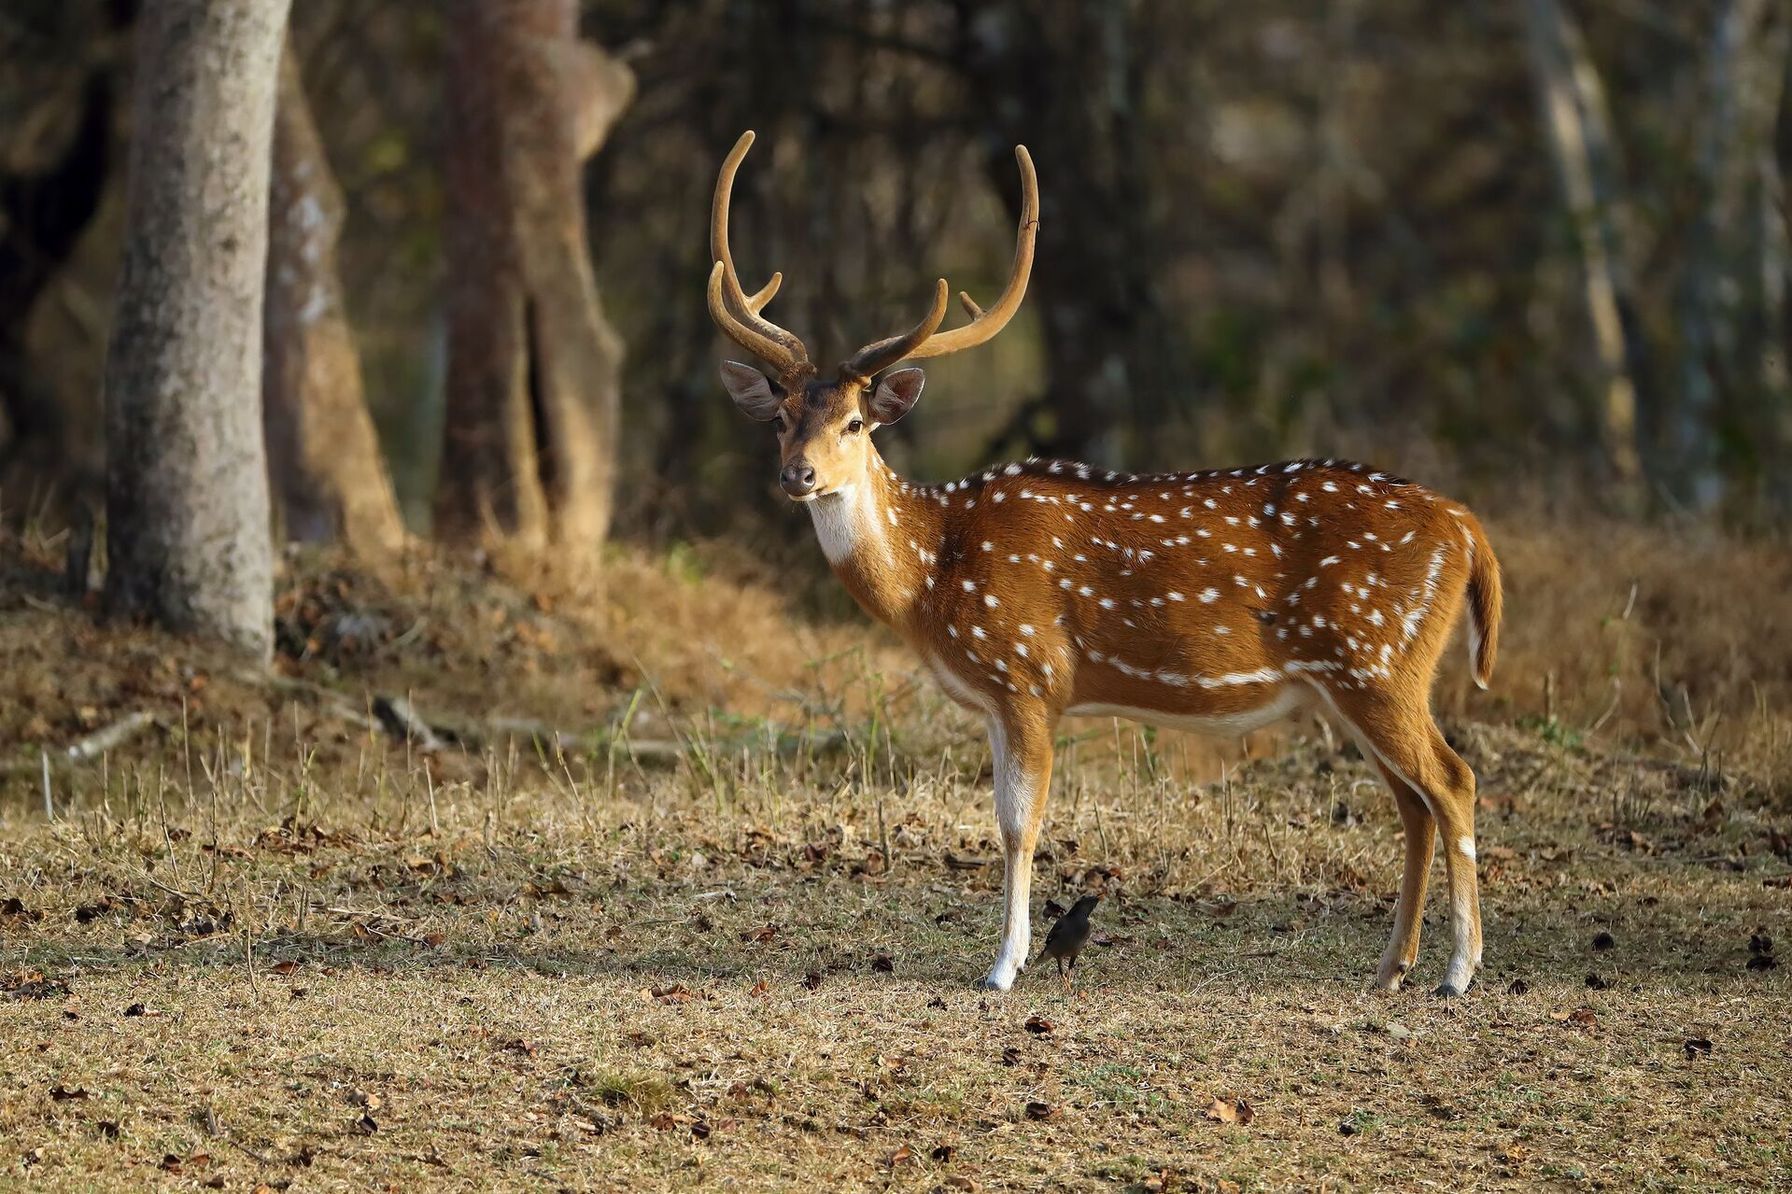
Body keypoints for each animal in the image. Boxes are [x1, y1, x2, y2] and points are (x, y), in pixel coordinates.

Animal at [706, 131, 1504, 997]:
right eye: (781, 418)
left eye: (855, 422)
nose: (798, 475)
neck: (933, 576)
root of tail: (1466, 529)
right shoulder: (995, 699)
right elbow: (1004, 820)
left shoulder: (1030, 675)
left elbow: (1019, 826)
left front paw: (1003, 967)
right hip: (1360, 678)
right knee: (1413, 801)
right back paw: (1392, 966)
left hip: (1378, 659)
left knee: (1453, 782)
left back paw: (1458, 971)